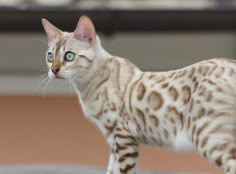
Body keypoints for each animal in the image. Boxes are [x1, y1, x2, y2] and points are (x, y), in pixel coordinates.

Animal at [41, 15, 236, 174]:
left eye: (69, 56)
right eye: (50, 56)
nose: (54, 70)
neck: (85, 87)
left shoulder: (123, 135)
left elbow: (126, 171)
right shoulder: (112, 139)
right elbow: (111, 170)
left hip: (207, 135)